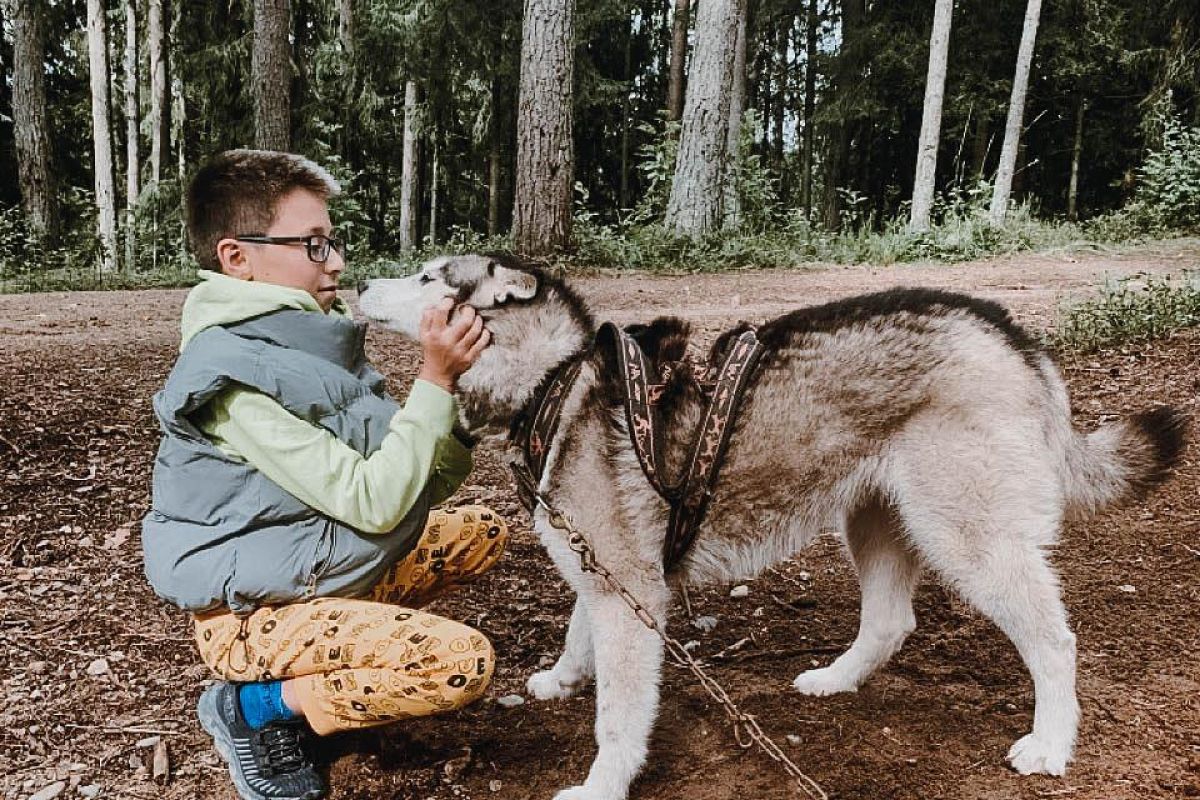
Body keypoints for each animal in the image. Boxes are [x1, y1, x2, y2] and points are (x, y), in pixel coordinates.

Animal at [355, 255, 1180, 800]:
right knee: (891, 622)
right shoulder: (605, 576)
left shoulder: (630, 593)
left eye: (430, 276)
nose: (360, 280)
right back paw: (837, 679)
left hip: (968, 541)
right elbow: (575, 633)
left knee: (1055, 642)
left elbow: (618, 716)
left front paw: (601, 786)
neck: (555, 378)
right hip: (873, 524)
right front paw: (562, 678)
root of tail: (1013, 334)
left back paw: (1051, 742)